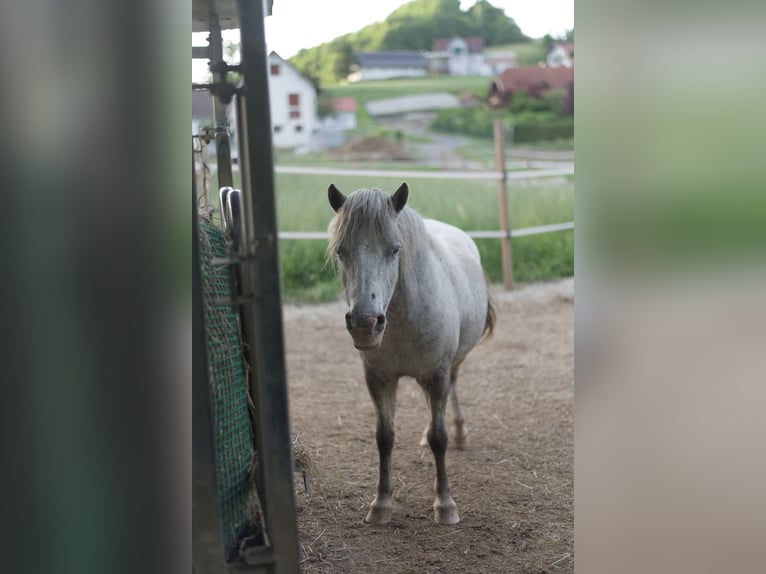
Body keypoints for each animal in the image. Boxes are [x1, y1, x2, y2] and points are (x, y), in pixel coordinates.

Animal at [327, 182, 496, 525]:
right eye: (340, 251)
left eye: (394, 249)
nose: (365, 325)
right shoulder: (378, 379)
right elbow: (384, 437)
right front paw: (381, 504)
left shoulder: (437, 374)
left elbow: (439, 439)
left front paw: (445, 505)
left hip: (452, 365)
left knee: (453, 391)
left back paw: (460, 433)